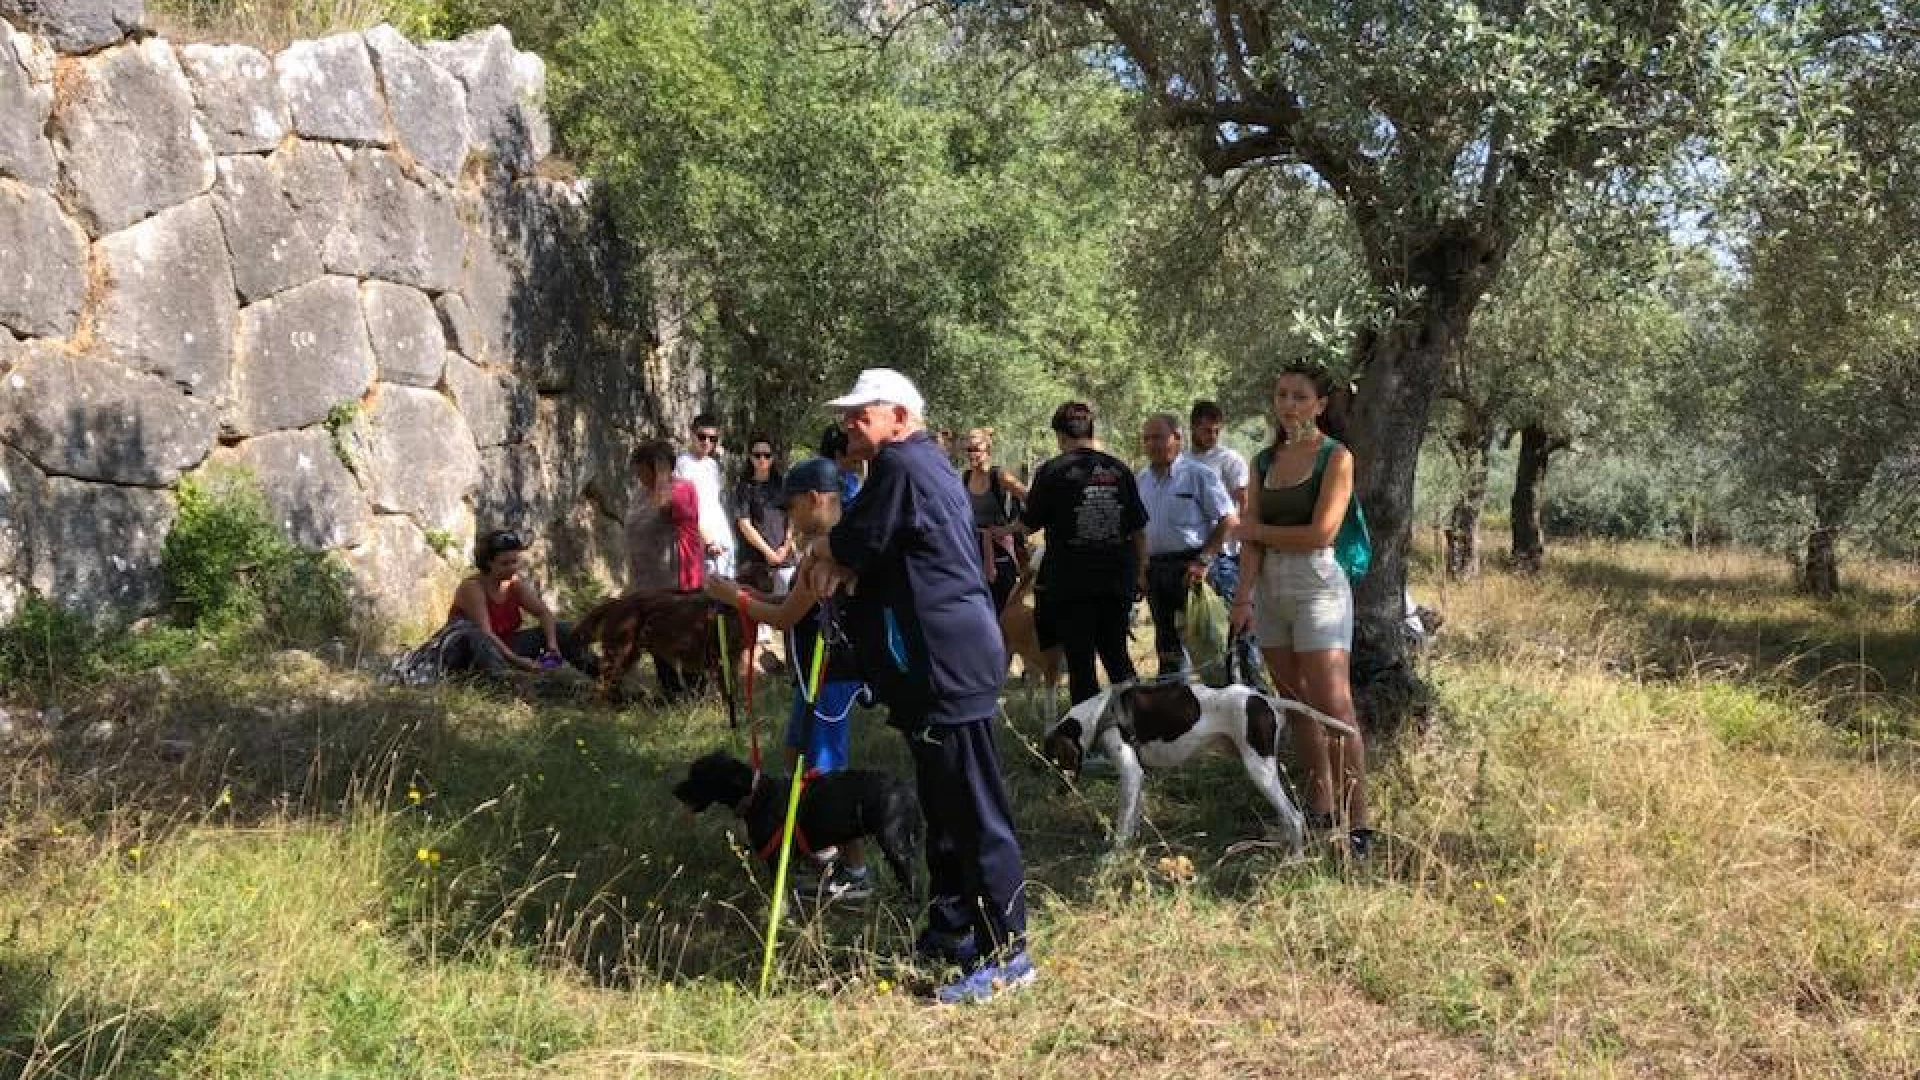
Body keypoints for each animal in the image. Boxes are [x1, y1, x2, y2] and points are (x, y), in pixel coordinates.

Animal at [668, 749, 921, 891]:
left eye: (698, 776)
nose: (675, 791)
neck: (757, 796)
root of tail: (905, 788)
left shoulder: (775, 858)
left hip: (894, 844)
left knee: (909, 877)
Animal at [1044, 676, 1359, 853]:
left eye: (1056, 760)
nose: (1056, 792)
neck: (1098, 714)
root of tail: (1262, 698)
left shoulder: (1131, 773)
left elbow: (1122, 823)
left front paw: (1113, 858)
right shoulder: (1138, 777)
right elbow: (1132, 818)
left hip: (1260, 771)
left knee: (1295, 818)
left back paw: (1294, 861)